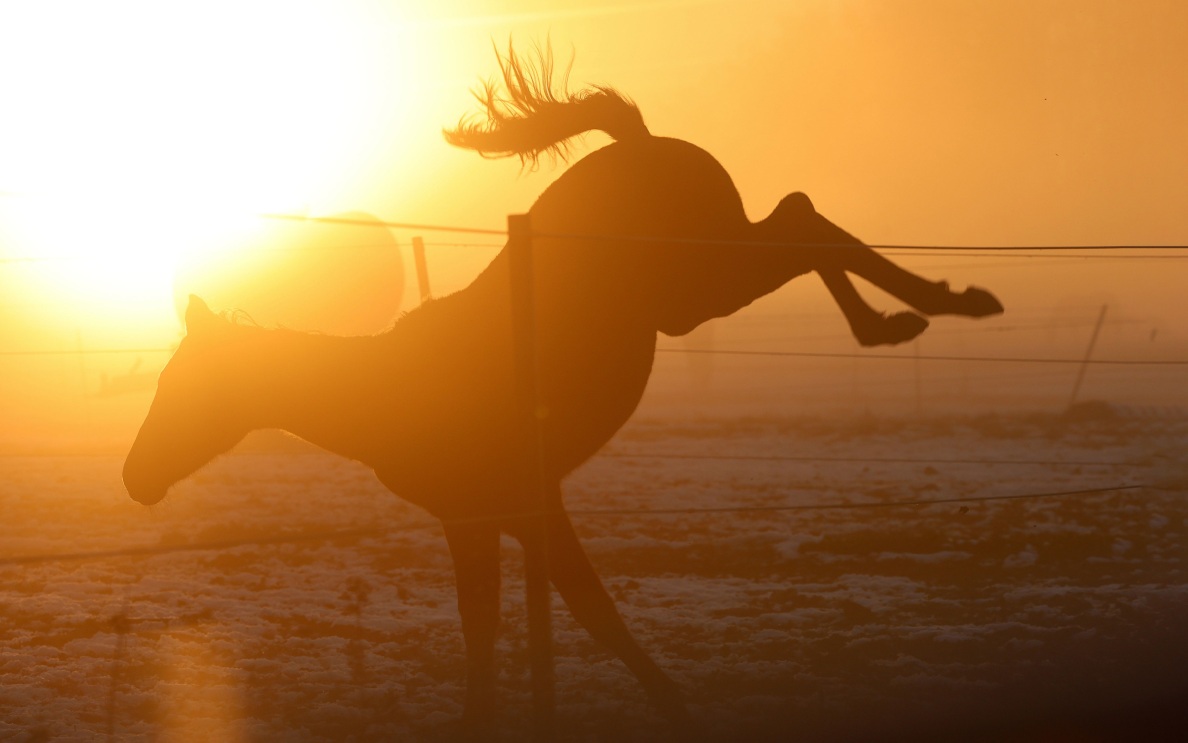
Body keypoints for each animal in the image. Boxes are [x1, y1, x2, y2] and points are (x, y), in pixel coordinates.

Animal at [123, 48, 1002, 733]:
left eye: (183, 385)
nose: (133, 477)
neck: (394, 388)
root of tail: (639, 142)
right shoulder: (485, 518)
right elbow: (498, 624)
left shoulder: (528, 502)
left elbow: (586, 613)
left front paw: (677, 711)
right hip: (697, 295)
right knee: (799, 219)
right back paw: (911, 315)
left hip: (702, 286)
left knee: (802, 221)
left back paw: (938, 306)